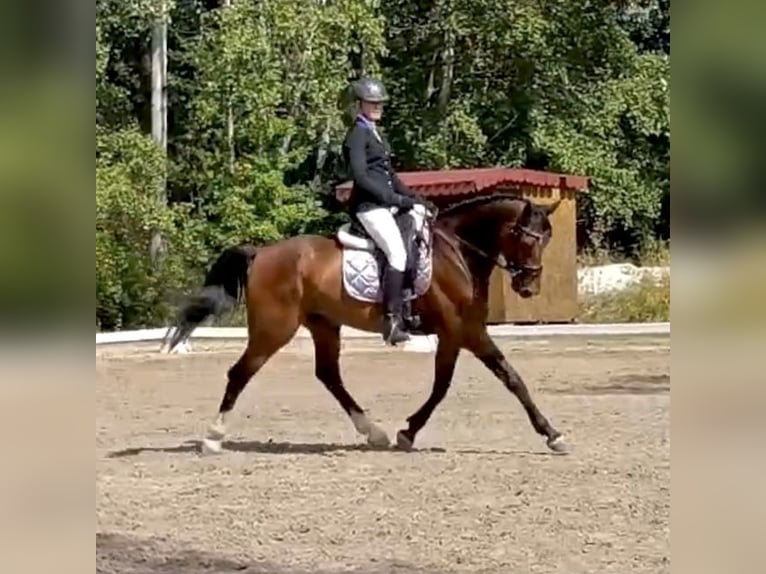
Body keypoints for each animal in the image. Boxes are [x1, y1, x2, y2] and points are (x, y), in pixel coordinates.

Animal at [164, 194, 568, 454]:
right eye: (524, 237)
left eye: (547, 239)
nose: (528, 287)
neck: (458, 253)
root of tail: (260, 252)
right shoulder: (465, 331)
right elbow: (507, 379)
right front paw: (552, 434)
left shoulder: (454, 334)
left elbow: (446, 385)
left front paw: (407, 432)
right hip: (274, 329)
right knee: (240, 372)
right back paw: (213, 437)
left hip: (323, 324)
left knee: (329, 375)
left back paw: (372, 432)